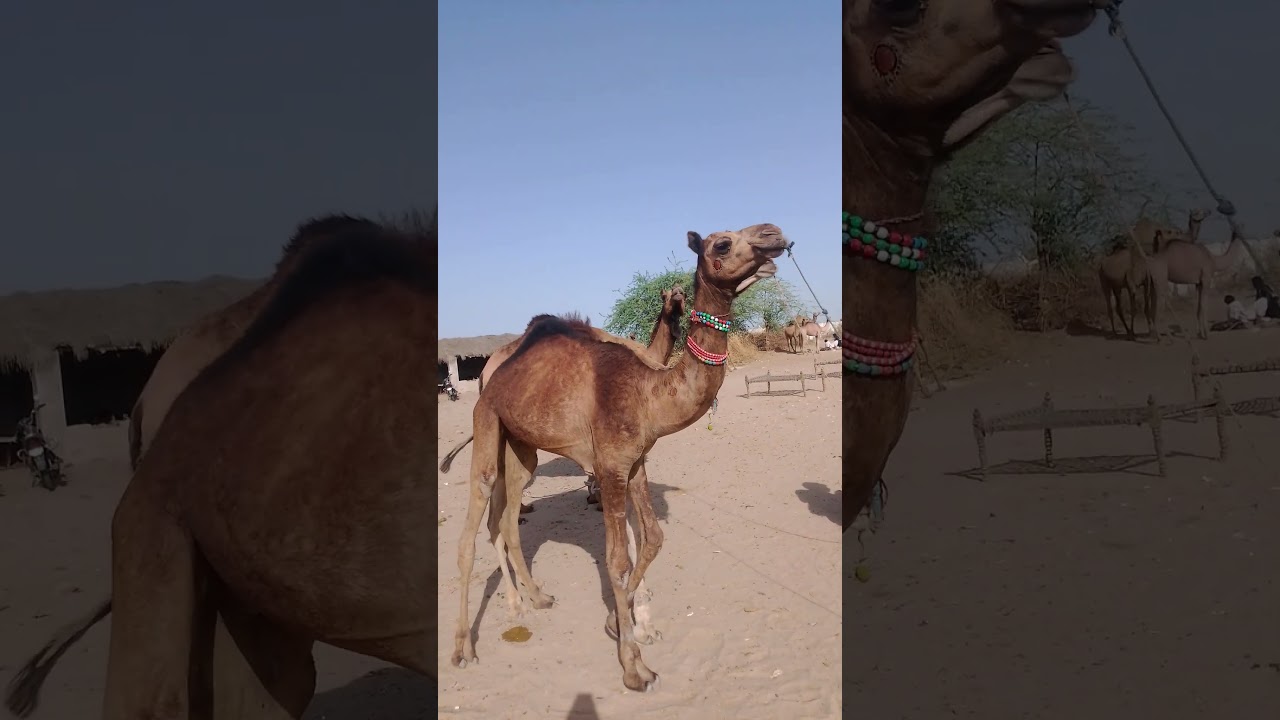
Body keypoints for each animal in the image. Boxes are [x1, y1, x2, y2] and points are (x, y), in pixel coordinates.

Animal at [447, 224, 787, 692]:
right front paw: (634, 665)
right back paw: (464, 648)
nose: (775, 235)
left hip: (519, 446)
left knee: (508, 519)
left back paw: (538, 597)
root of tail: (490, 374)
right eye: (721, 243)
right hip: (487, 421)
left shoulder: (637, 462)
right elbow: (617, 559)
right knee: (470, 531)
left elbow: (653, 538)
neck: (650, 392)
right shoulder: (609, 467)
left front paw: (619, 619)